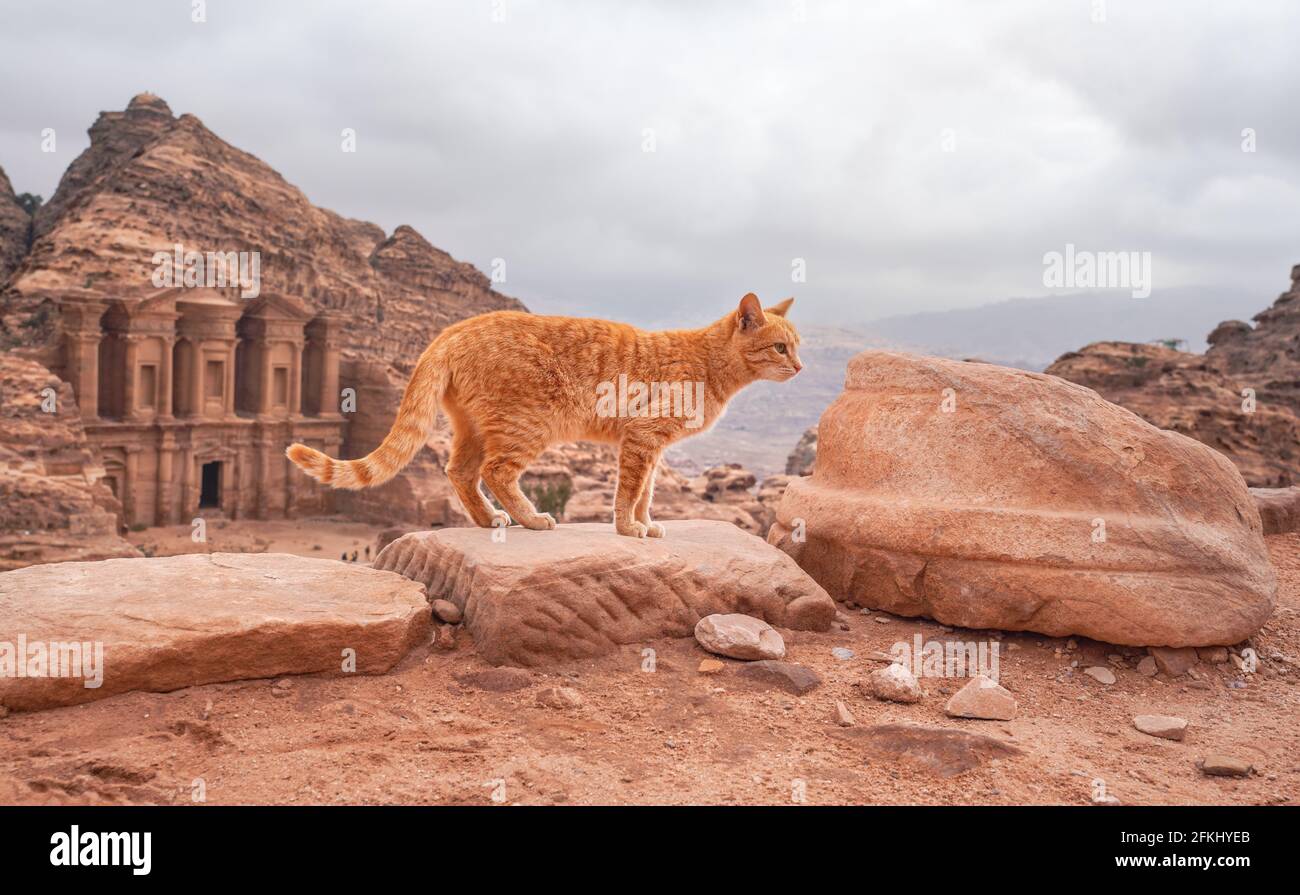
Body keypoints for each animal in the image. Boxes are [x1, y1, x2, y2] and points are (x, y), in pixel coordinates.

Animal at [287, 295, 800, 538]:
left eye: (798, 346)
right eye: (780, 347)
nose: (800, 367)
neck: (711, 364)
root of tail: (452, 330)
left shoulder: (653, 446)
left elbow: (646, 493)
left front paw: (646, 523)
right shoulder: (642, 438)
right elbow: (629, 492)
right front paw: (627, 528)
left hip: (473, 428)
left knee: (459, 471)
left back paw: (488, 520)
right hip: (529, 426)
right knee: (495, 471)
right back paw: (532, 518)